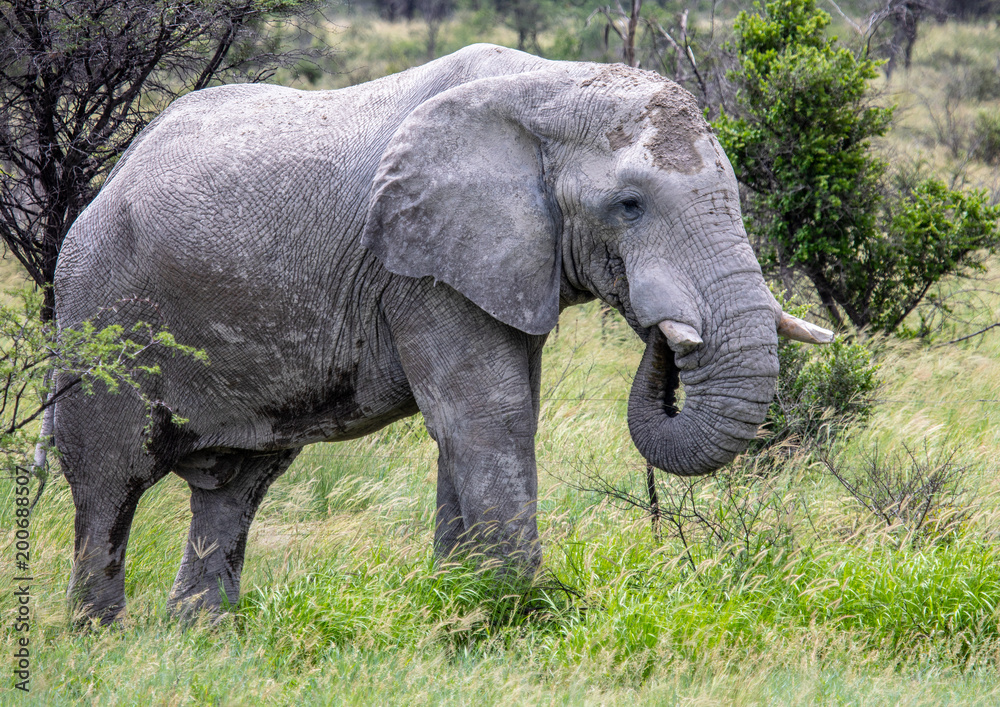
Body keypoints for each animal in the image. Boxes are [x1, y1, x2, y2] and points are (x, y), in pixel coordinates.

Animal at [53, 43, 832, 624]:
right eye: (630, 205)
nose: (667, 340)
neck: (549, 89)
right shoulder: (420, 263)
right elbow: (490, 415)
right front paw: (521, 609)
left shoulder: (500, 262)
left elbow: (486, 416)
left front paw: (465, 598)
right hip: (99, 311)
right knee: (109, 480)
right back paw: (102, 639)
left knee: (236, 486)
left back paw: (206, 637)